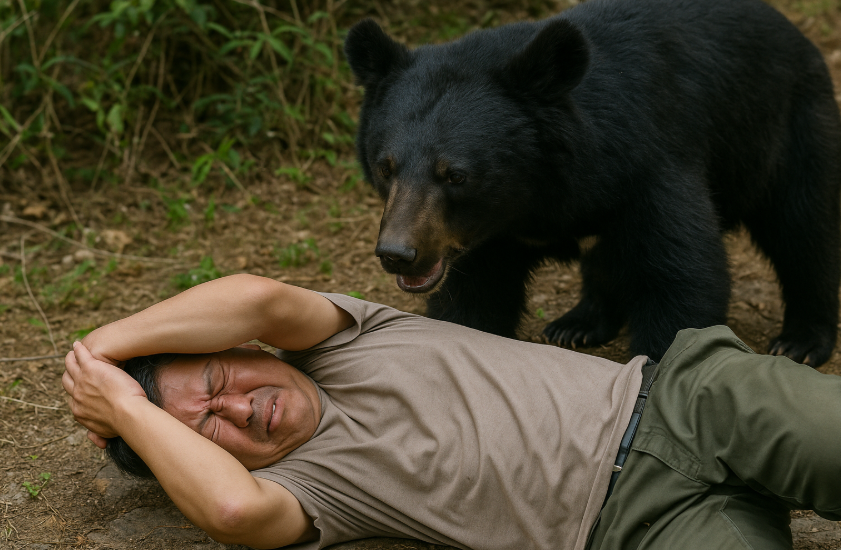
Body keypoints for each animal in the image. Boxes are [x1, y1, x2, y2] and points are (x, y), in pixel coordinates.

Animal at [344, 0, 841, 367]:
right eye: (386, 167)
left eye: (456, 175)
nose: (398, 254)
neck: (532, 196)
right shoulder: (487, 238)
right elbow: (474, 298)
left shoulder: (649, 166)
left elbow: (681, 277)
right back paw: (577, 325)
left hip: (788, 127)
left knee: (803, 228)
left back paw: (801, 342)